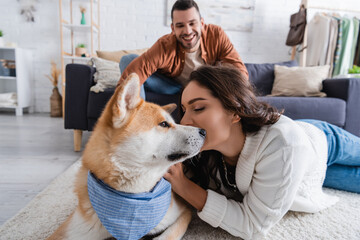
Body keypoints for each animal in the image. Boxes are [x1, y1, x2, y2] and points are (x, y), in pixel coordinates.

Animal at [48, 73, 205, 240]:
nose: (203, 131)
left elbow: (168, 235)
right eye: (163, 124)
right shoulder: (70, 231)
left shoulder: (183, 212)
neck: (132, 197)